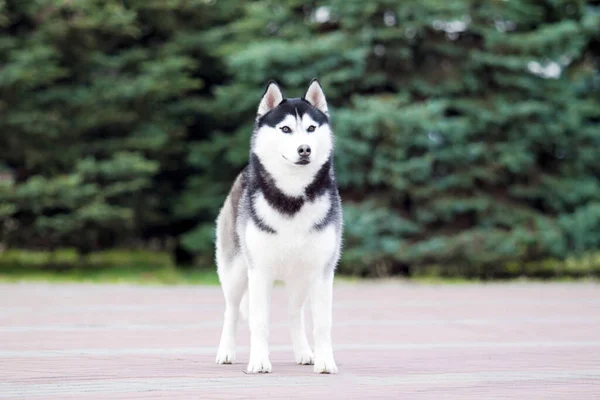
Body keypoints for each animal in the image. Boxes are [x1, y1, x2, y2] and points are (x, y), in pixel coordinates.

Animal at [216, 79, 342, 374]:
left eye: (311, 128)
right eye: (285, 129)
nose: (304, 149)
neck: (292, 196)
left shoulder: (322, 272)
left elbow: (322, 323)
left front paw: (325, 361)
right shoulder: (259, 272)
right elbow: (259, 321)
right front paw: (259, 361)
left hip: (300, 279)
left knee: (294, 313)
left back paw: (304, 352)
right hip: (236, 271)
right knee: (231, 310)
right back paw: (226, 351)